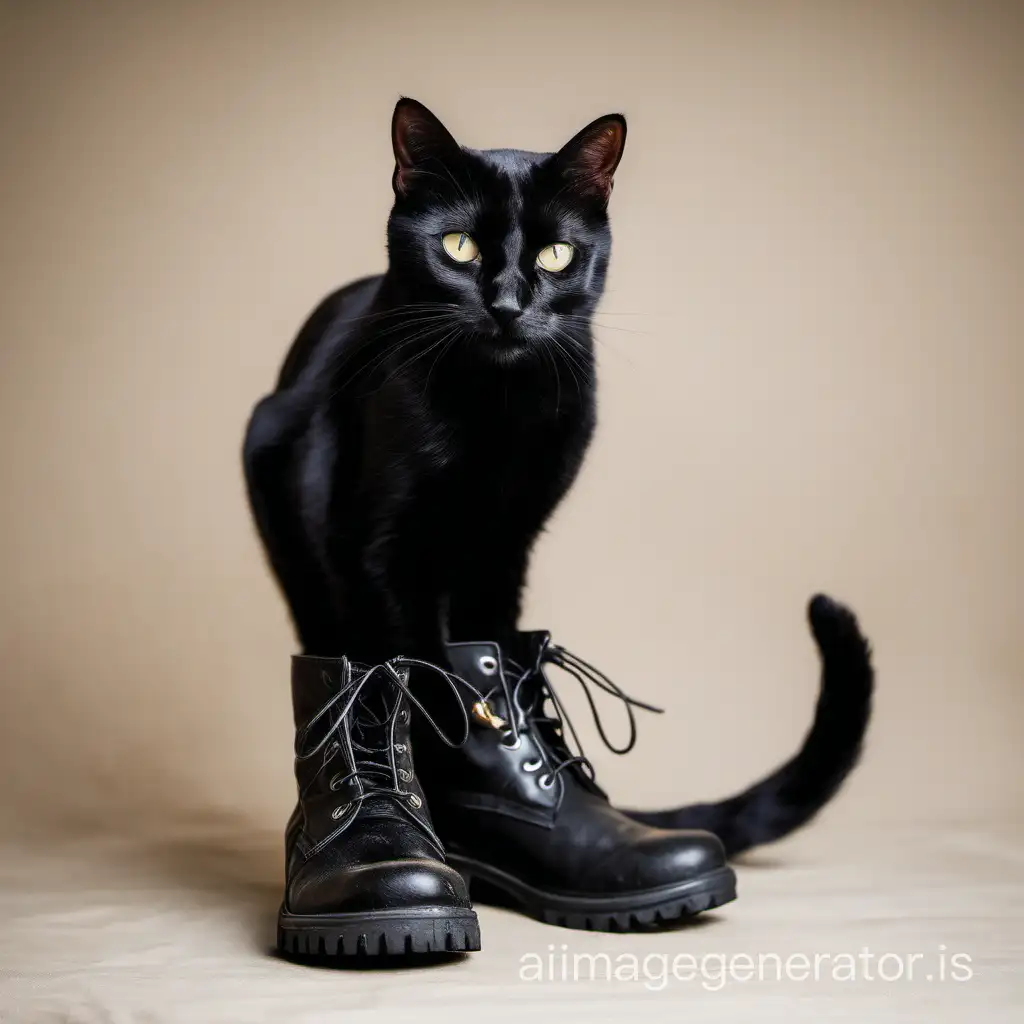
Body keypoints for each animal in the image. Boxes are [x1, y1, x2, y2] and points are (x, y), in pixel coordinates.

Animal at [241, 99, 872, 860]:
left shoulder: (510, 539)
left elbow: (480, 647)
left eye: (555, 254)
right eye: (458, 247)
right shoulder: (382, 550)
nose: (508, 304)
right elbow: (420, 671)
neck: (498, 410)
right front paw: (431, 807)